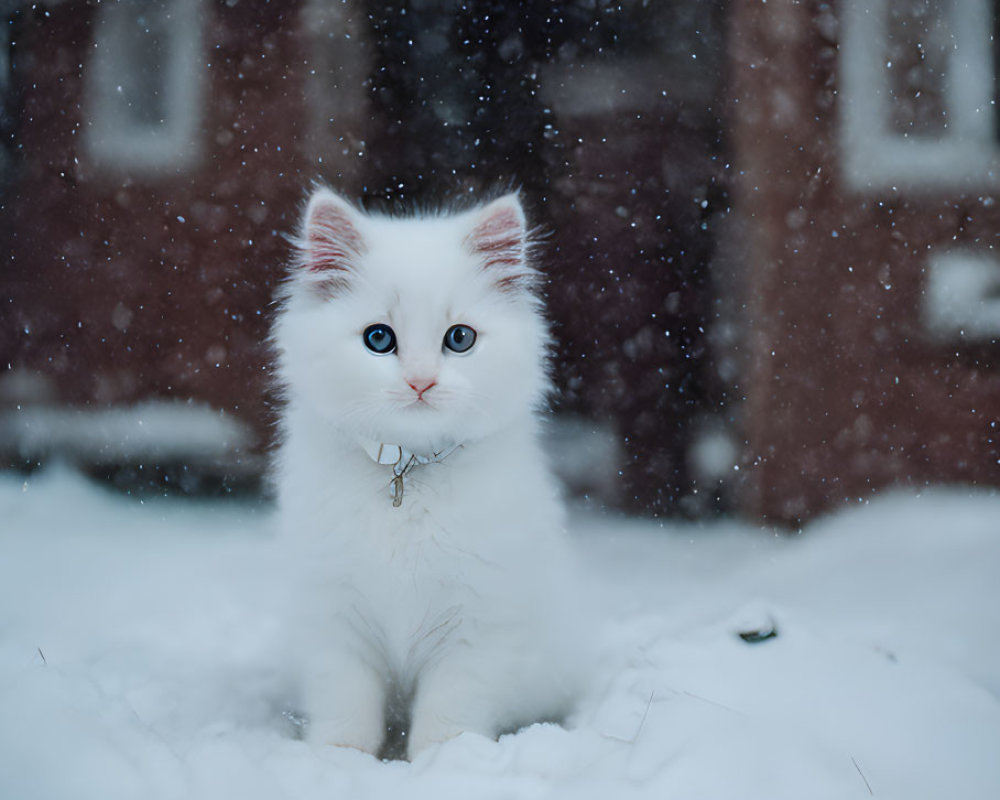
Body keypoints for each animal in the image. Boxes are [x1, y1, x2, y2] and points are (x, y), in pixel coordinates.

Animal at [274, 188, 584, 764]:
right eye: (379, 339)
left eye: (459, 339)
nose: (421, 382)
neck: (408, 474)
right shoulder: (333, 613)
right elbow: (345, 701)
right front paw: (338, 759)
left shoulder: (478, 621)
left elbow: (450, 709)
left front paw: (445, 762)